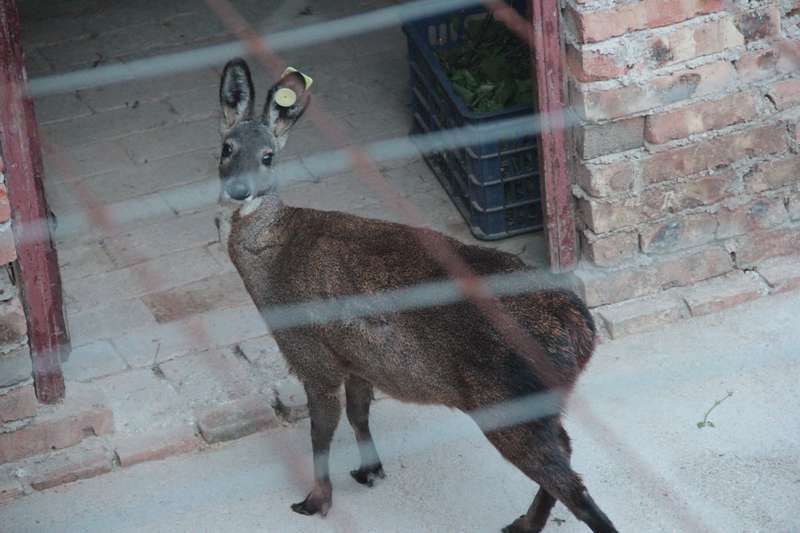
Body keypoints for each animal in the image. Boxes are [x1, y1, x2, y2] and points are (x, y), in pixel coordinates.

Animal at [216, 58, 616, 532]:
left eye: (268, 156)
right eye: (226, 148)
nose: (239, 190)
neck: (272, 253)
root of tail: (581, 329)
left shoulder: (311, 353)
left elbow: (321, 432)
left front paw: (315, 501)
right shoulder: (356, 358)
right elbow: (359, 413)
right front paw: (370, 470)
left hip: (507, 401)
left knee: (573, 484)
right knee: (567, 451)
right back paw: (523, 522)